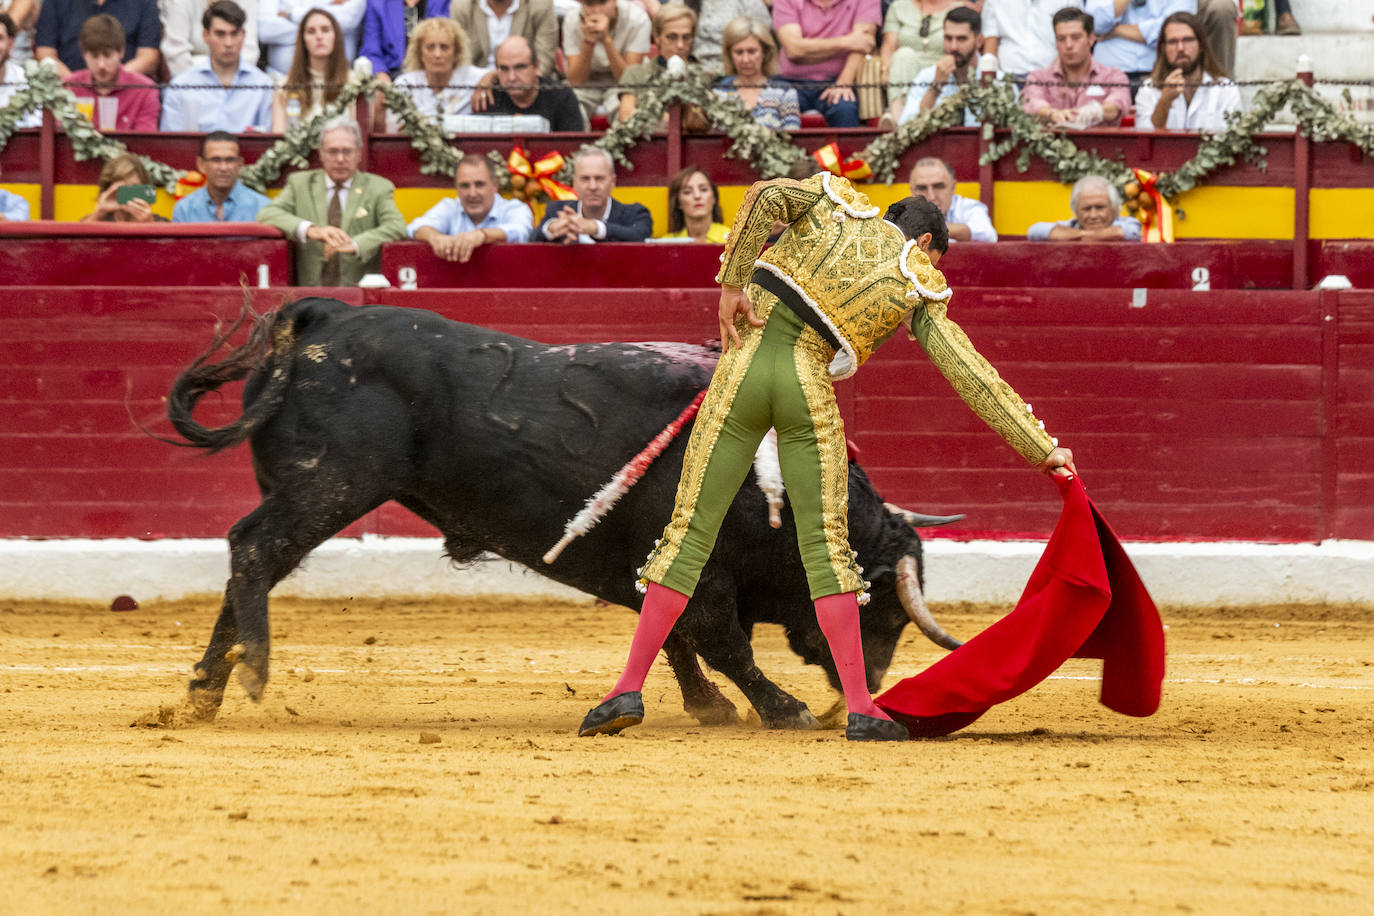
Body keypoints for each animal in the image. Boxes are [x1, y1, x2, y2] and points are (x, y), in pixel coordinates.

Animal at [166, 298, 961, 725]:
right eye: (885, 611)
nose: (870, 687)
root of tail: (322, 318)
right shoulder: (702, 570)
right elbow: (717, 639)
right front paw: (781, 710)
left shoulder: (651, 564)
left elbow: (672, 635)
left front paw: (708, 706)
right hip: (328, 486)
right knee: (254, 549)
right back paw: (252, 671)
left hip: (303, 489)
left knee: (250, 567)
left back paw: (205, 690)